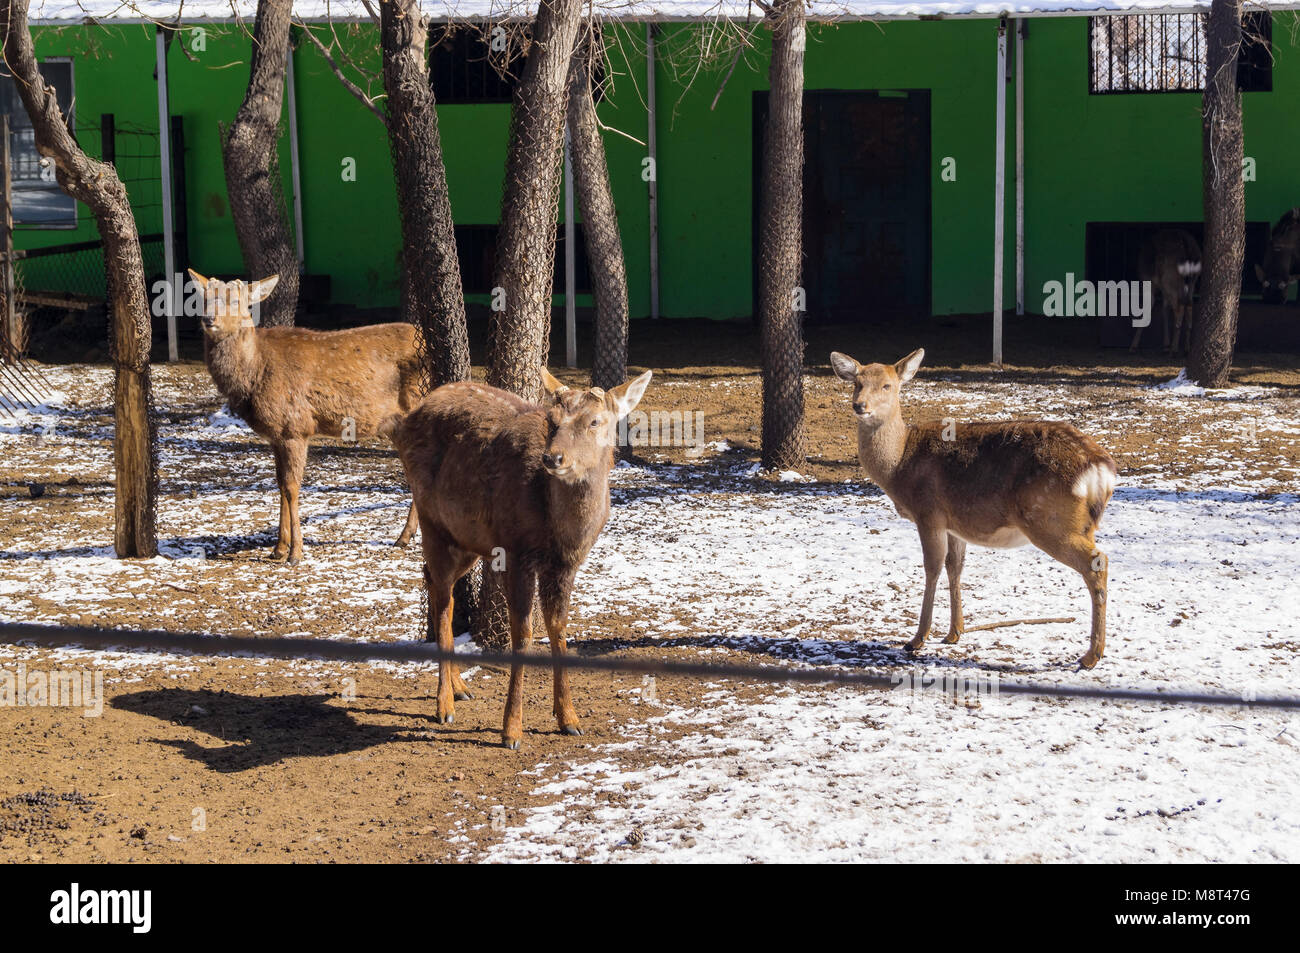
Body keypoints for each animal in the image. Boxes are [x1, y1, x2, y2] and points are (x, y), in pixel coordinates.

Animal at [189, 269, 423, 565]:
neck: (256, 372)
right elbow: (279, 484)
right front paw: (277, 549)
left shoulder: (295, 426)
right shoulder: (277, 436)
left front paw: (295, 552)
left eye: (237, 301)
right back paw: (405, 537)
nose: (209, 320)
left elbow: (291, 487)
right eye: (204, 299)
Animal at [391, 367, 652, 749]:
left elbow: (558, 629)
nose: (553, 458)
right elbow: (523, 633)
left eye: (595, 421)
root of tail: (408, 419)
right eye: (552, 420)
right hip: (431, 517)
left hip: (468, 539)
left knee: (439, 587)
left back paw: (461, 686)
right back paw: (445, 704)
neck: (561, 531)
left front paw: (569, 718)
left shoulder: (567, 564)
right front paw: (511, 730)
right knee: (439, 593)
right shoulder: (516, 552)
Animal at [829, 349, 1118, 669]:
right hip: (1082, 524)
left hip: (1051, 519)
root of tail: (1101, 469)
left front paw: (917, 638)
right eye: (857, 383)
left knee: (1097, 562)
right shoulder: (954, 523)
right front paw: (954, 633)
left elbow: (931, 568)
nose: (859, 405)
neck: (899, 464)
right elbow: (955, 567)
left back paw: (1091, 655)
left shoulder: (928, 512)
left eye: (887, 386)